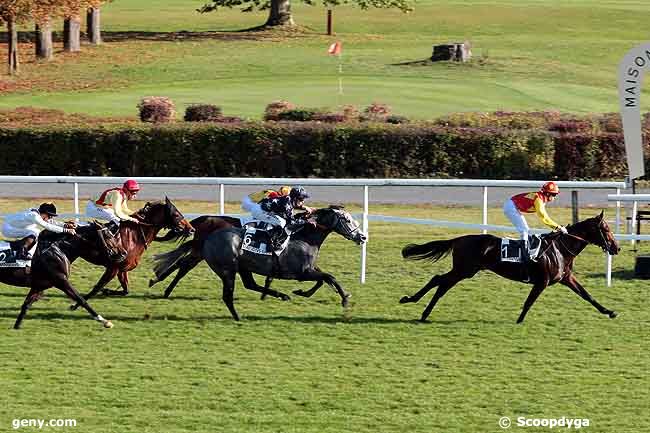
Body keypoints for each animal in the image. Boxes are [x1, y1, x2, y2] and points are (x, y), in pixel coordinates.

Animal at [153, 204, 364, 318]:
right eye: (346, 220)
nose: (362, 237)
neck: (303, 237)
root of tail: (204, 222)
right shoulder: (301, 272)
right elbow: (329, 277)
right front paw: (345, 299)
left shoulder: (309, 269)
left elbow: (324, 279)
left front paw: (302, 292)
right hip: (218, 262)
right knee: (185, 266)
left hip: (235, 264)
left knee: (248, 283)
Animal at [400, 211, 616, 322]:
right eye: (606, 229)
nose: (617, 247)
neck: (561, 249)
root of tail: (460, 239)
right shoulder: (542, 282)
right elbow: (529, 302)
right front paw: (519, 321)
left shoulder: (566, 278)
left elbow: (587, 295)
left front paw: (609, 311)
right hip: (464, 270)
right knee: (439, 281)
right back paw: (413, 303)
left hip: (466, 271)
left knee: (441, 283)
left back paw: (422, 311)